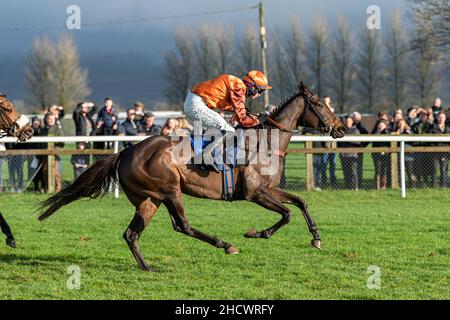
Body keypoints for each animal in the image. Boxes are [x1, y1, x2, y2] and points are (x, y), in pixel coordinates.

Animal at [40, 82, 346, 270]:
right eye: (319, 104)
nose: (341, 128)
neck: (265, 142)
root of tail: (125, 152)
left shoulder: (270, 189)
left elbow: (301, 203)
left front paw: (316, 238)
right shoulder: (255, 193)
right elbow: (287, 213)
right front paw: (257, 233)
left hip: (148, 199)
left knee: (131, 234)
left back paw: (147, 267)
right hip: (170, 189)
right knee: (182, 225)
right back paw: (226, 245)